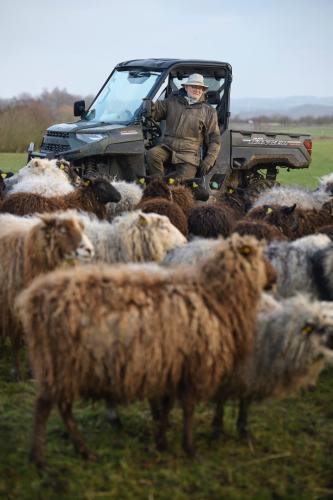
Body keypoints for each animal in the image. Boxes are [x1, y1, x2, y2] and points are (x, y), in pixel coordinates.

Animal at [0, 211, 93, 376]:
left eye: (82, 228)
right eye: (62, 230)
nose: (89, 249)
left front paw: (31, 370)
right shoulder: (10, 308)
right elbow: (16, 340)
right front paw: (15, 371)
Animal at [15, 232, 274, 466]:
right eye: (262, 256)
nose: (276, 277)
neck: (217, 295)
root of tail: (34, 297)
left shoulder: (173, 365)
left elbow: (168, 405)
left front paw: (161, 441)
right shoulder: (194, 366)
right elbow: (188, 409)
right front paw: (190, 448)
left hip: (63, 365)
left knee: (63, 408)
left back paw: (83, 451)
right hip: (59, 362)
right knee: (44, 407)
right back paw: (39, 458)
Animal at [211, 292, 332, 442]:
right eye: (323, 329)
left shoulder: (253, 376)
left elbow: (245, 403)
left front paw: (244, 432)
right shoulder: (226, 374)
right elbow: (220, 402)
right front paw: (217, 431)